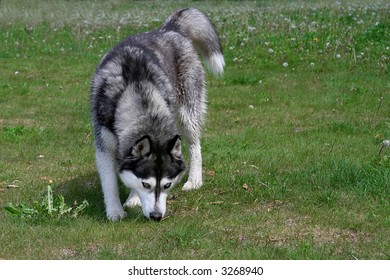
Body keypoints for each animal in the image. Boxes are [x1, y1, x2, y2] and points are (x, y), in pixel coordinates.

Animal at [90, 7, 224, 221]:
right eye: (146, 184)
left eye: (167, 185)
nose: (156, 216)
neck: (136, 90)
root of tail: (168, 29)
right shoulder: (104, 145)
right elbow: (109, 182)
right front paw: (115, 211)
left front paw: (133, 199)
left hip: (187, 113)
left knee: (194, 144)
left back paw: (195, 179)